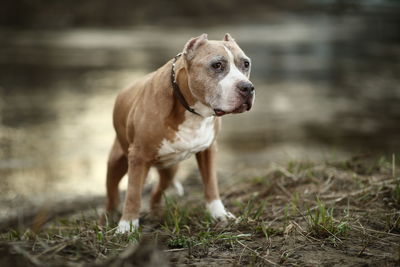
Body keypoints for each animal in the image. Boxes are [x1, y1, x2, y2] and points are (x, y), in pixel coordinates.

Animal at [103, 34, 253, 234]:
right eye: (217, 65)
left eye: (246, 64)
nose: (248, 87)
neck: (191, 112)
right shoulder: (138, 157)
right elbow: (133, 193)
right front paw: (127, 226)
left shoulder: (208, 150)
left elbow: (211, 183)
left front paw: (219, 214)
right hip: (117, 163)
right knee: (112, 195)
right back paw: (110, 217)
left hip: (169, 168)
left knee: (157, 191)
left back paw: (156, 214)